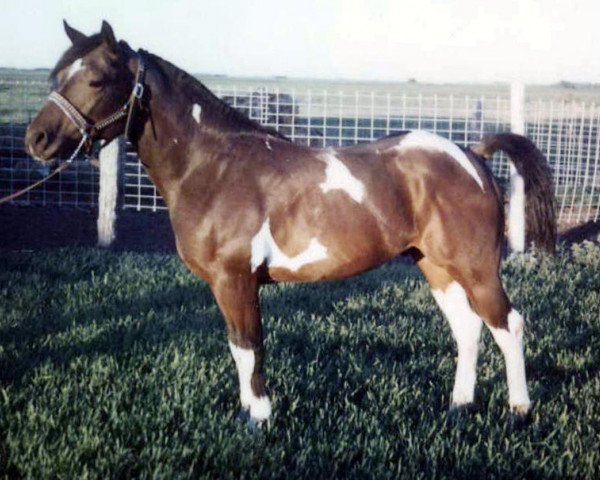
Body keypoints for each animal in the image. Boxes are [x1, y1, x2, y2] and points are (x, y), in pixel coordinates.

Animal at [24, 20, 556, 430]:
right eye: (57, 74)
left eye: (95, 80)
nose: (38, 138)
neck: (214, 166)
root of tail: (471, 154)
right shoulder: (227, 285)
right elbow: (238, 347)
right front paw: (248, 415)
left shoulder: (235, 280)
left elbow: (249, 347)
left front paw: (259, 420)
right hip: (436, 267)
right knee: (468, 329)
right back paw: (458, 407)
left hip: (476, 268)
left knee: (508, 324)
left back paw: (519, 410)